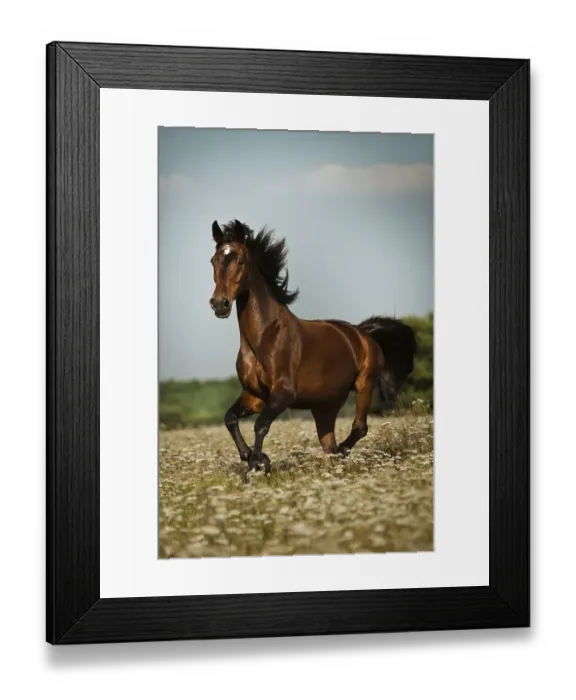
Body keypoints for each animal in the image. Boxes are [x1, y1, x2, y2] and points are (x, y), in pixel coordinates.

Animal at [209, 219, 418, 481]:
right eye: (213, 260)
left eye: (239, 260)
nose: (219, 304)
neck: (264, 338)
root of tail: (362, 333)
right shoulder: (254, 396)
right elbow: (230, 418)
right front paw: (249, 457)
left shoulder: (283, 394)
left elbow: (260, 425)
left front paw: (259, 462)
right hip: (324, 407)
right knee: (328, 443)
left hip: (364, 385)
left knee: (359, 428)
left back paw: (343, 452)